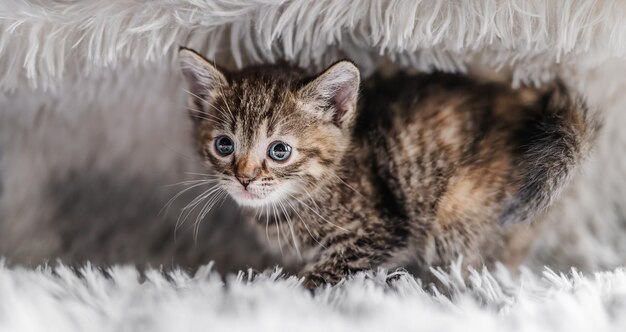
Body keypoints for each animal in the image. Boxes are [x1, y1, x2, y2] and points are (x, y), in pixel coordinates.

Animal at [177, 47, 596, 288]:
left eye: (279, 150)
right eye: (224, 145)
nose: (244, 179)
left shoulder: (381, 230)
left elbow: (319, 275)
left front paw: (280, 294)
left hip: (457, 212)